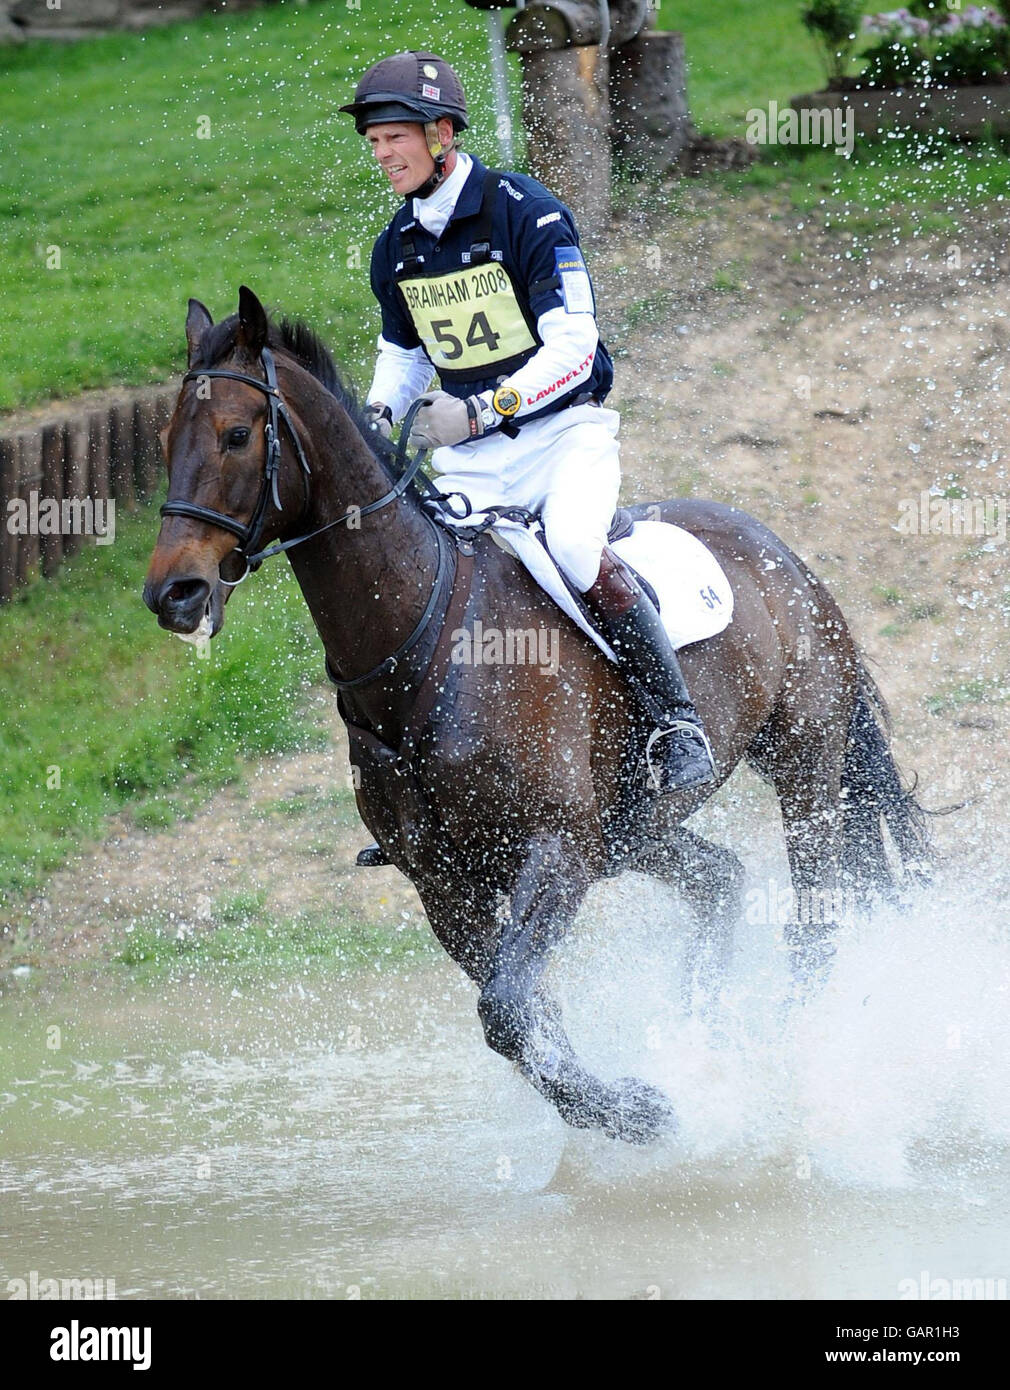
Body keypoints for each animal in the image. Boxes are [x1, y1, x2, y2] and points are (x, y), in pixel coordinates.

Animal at [143, 287, 931, 1145]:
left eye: (237, 434)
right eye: (165, 440)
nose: (173, 594)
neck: (423, 641)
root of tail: (783, 553)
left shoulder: (554, 852)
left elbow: (507, 1011)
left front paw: (636, 1109)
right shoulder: (446, 887)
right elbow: (525, 1017)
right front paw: (628, 1103)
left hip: (802, 765)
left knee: (814, 921)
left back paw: (789, 1060)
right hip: (632, 830)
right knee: (720, 882)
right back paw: (702, 1042)